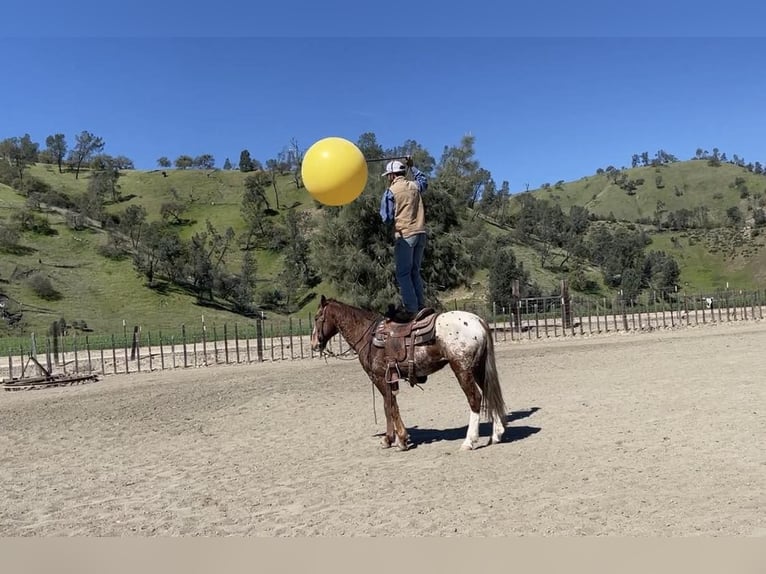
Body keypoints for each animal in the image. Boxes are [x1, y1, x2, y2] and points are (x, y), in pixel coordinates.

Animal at [308, 296, 508, 454]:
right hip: (479, 368)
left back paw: (469, 441)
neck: (368, 336)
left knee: (475, 398)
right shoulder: (388, 379)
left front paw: (401, 440)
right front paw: (389, 439)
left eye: (317, 317)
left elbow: (390, 406)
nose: (314, 344)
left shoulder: (380, 378)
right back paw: (496, 434)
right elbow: (388, 406)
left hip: (462, 369)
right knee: (490, 394)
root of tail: (478, 320)